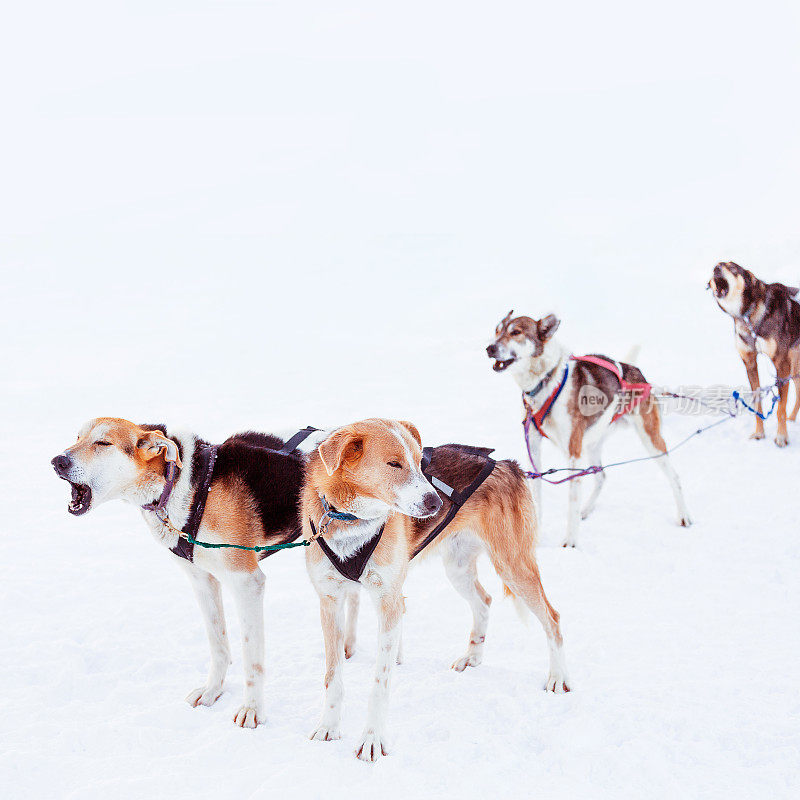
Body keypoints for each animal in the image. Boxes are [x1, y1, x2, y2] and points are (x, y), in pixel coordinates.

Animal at [51, 418, 314, 732]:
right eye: (77, 438)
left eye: (103, 443)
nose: (58, 460)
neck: (186, 486)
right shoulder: (202, 581)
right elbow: (218, 645)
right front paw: (213, 691)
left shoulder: (246, 582)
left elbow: (252, 658)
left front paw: (252, 709)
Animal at [300, 418, 568, 764]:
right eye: (394, 464)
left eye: (419, 462)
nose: (436, 503)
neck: (353, 520)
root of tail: (509, 464)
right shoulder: (330, 602)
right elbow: (333, 678)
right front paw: (328, 726)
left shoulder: (388, 602)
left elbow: (380, 681)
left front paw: (372, 739)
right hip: (458, 568)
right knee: (485, 601)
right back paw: (472, 656)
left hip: (513, 567)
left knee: (553, 618)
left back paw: (558, 676)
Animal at [484, 312, 692, 552]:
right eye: (497, 330)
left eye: (515, 332)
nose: (490, 348)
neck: (545, 381)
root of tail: (633, 371)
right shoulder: (534, 450)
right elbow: (537, 494)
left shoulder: (573, 452)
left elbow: (571, 501)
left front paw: (570, 542)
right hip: (592, 444)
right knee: (601, 475)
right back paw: (586, 509)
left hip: (650, 439)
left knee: (674, 476)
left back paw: (684, 516)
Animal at [708, 264, 800, 446]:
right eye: (717, 265)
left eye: (732, 267)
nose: (716, 268)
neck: (749, 317)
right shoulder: (750, 363)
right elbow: (757, 404)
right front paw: (759, 433)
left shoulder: (781, 365)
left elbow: (781, 408)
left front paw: (781, 437)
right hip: (794, 369)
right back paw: (792, 419)